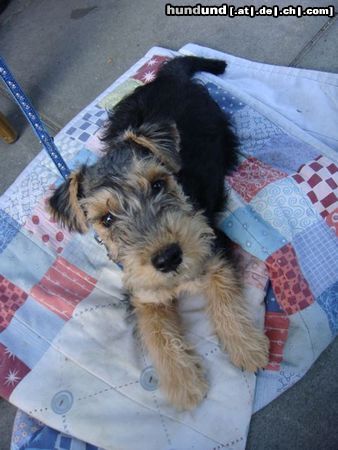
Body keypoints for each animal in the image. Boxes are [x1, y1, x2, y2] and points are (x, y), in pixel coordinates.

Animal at [48, 55, 270, 408]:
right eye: (106, 218)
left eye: (157, 184)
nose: (168, 258)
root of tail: (171, 75)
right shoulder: (143, 294)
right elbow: (156, 333)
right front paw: (184, 382)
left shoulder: (213, 250)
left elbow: (225, 298)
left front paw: (246, 348)